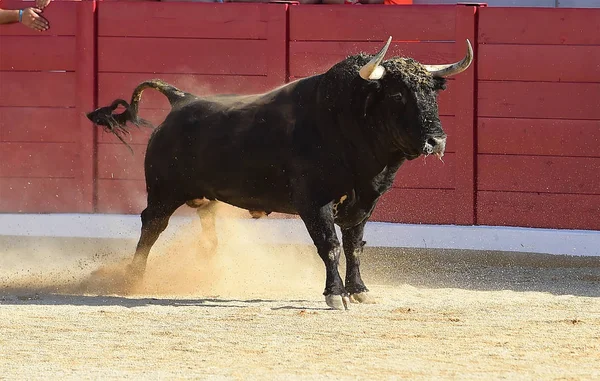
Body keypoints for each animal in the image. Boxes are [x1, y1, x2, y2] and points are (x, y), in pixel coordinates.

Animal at [88, 37, 474, 308]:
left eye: (432, 93)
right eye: (396, 95)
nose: (436, 140)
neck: (347, 124)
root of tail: (182, 100)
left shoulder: (365, 203)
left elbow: (355, 246)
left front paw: (360, 290)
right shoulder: (314, 202)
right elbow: (330, 245)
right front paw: (335, 295)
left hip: (202, 193)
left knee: (205, 221)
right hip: (164, 191)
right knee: (152, 225)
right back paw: (133, 278)